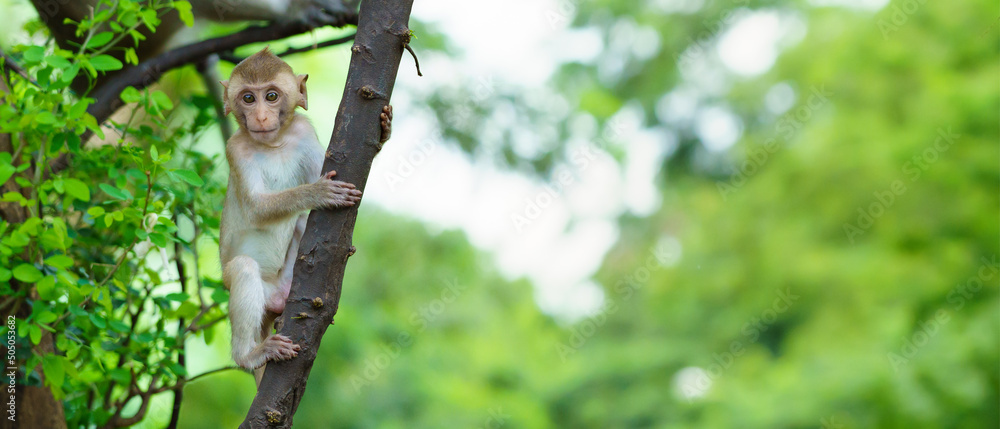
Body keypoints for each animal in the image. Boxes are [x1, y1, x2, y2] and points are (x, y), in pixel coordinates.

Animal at [218, 48, 391, 383]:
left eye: (271, 96)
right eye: (248, 98)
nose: (261, 117)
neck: (273, 143)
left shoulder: (303, 132)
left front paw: (383, 132)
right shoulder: (236, 149)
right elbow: (257, 206)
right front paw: (317, 192)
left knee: (300, 222)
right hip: (245, 287)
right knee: (244, 268)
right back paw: (249, 355)